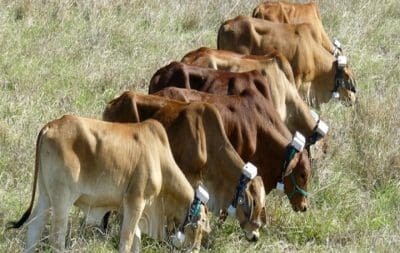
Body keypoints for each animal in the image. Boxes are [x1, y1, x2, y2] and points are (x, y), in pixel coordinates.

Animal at [7, 116, 211, 253]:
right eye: (202, 223)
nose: (196, 249)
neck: (160, 161)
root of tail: (51, 126)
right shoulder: (136, 201)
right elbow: (126, 242)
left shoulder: (133, 209)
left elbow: (136, 242)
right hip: (61, 199)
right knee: (56, 239)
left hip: (45, 195)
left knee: (34, 230)